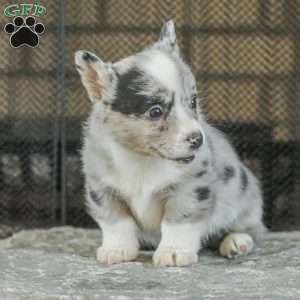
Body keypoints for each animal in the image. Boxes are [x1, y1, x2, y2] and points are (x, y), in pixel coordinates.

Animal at [74, 19, 264, 266]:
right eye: (155, 111)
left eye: (193, 101)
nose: (197, 139)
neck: (142, 158)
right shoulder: (103, 189)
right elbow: (117, 223)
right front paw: (117, 249)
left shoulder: (190, 187)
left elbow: (178, 223)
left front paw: (174, 252)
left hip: (244, 198)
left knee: (249, 228)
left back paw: (236, 241)